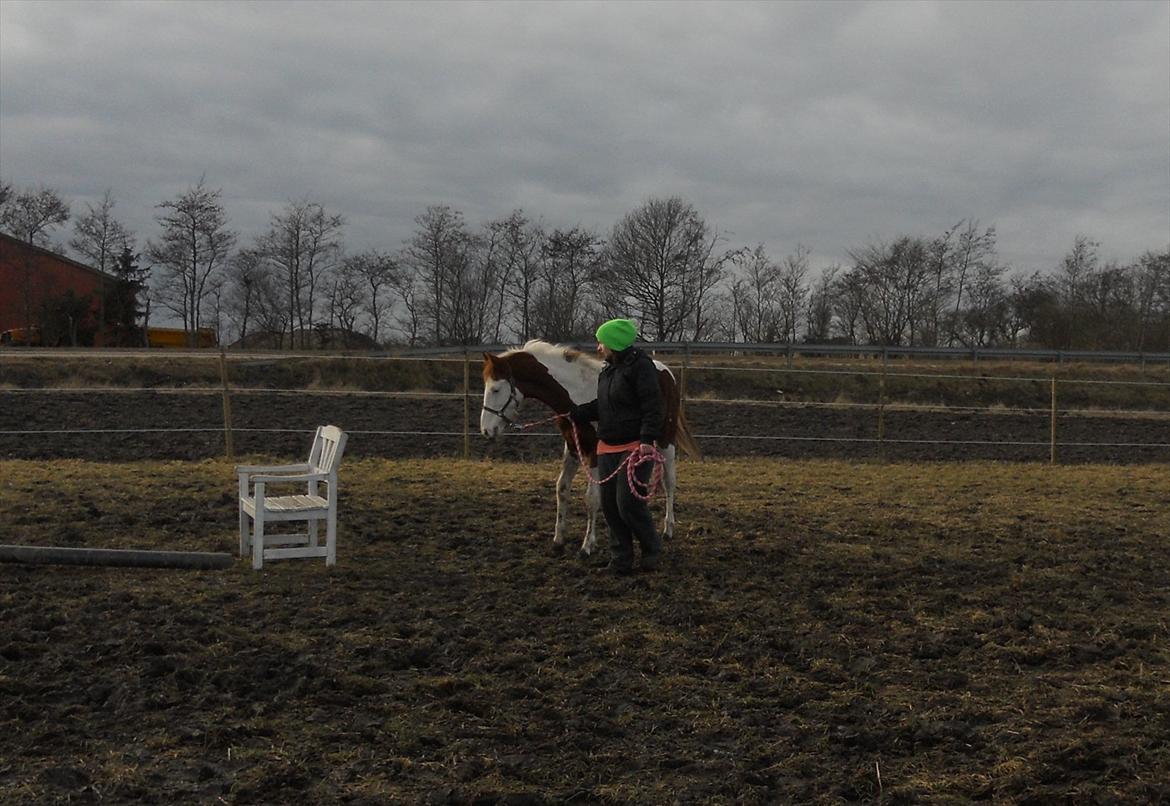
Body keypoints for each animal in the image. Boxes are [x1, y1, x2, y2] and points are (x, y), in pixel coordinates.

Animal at [479, 339, 697, 559]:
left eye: (496, 389)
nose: (486, 430)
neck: (578, 395)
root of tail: (667, 373)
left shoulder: (594, 452)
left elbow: (591, 498)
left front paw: (587, 545)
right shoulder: (573, 447)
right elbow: (562, 488)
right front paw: (558, 540)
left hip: (665, 442)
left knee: (668, 482)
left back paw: (668, 528)